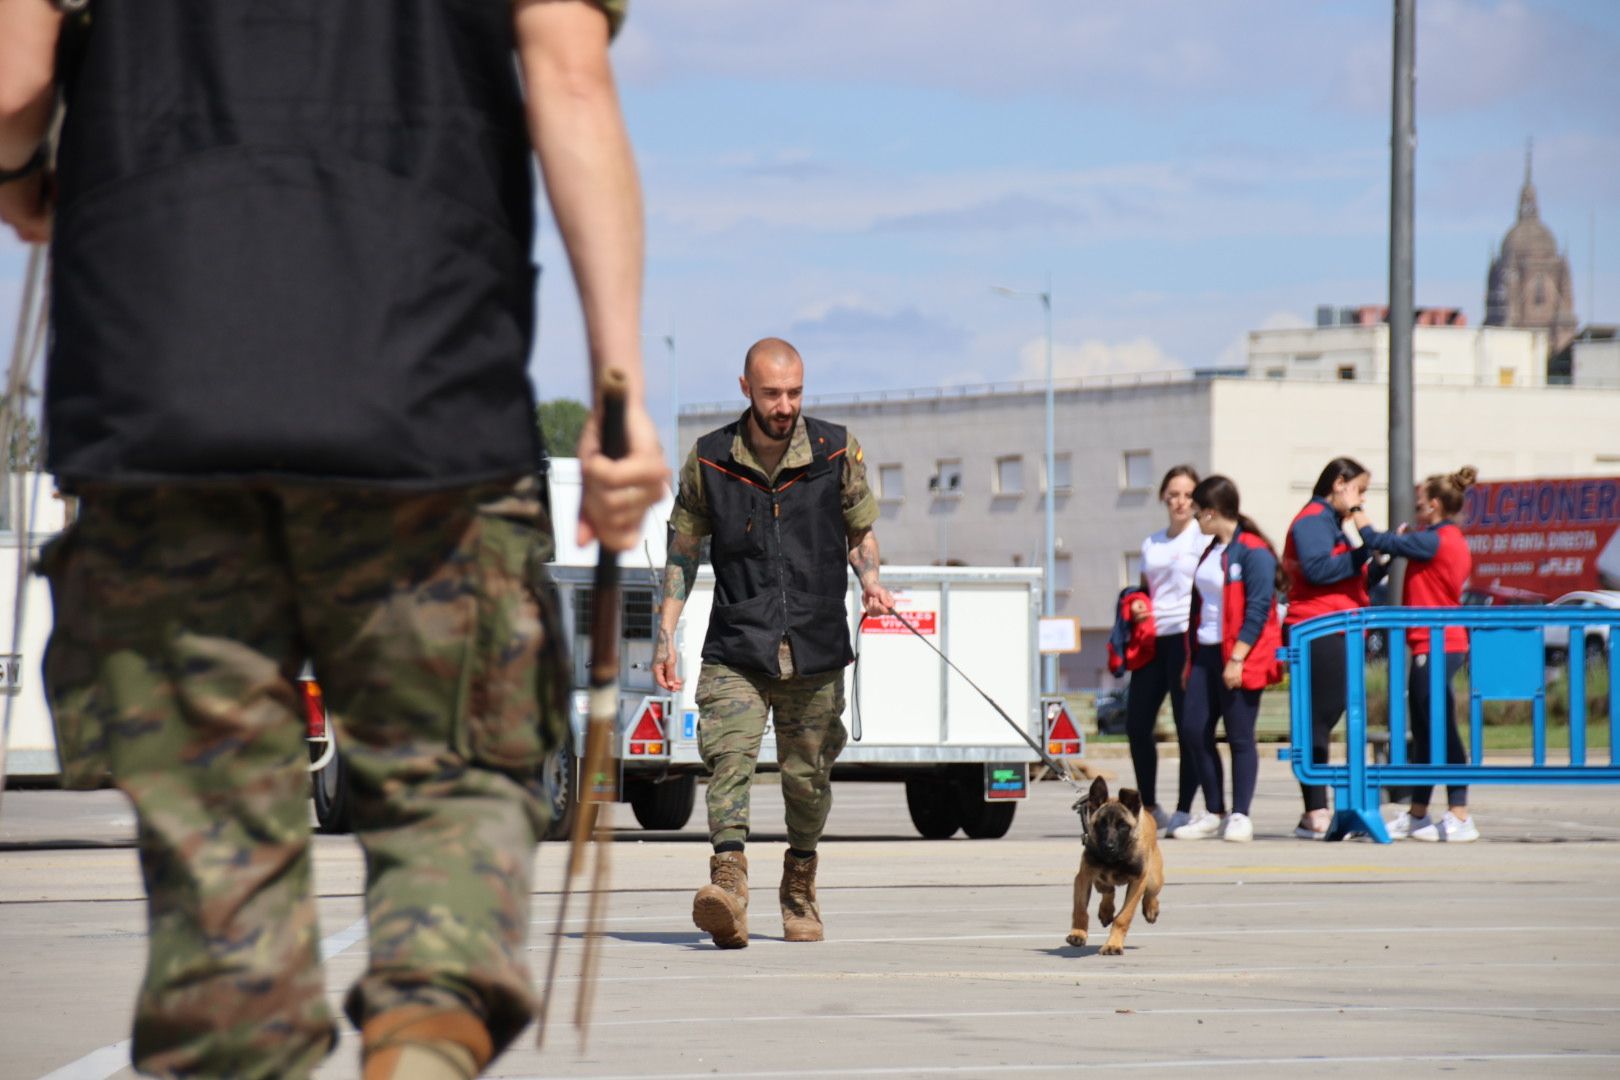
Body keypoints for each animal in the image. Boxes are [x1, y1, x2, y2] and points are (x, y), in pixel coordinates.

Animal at [1069, 777, 1159, 952]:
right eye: (1101, 824)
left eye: (1123, 825)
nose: (1108, 847)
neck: (1115, 859)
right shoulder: (1083, 878)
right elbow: (1080, 909)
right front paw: (1078, 933)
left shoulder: (1138, 882)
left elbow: (1123, 917)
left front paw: (1113, 944)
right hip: (1097, 879)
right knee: (1107, 889)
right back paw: (1106, 910)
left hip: (1154, 879)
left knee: (1151, 893)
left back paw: (1151, 908)